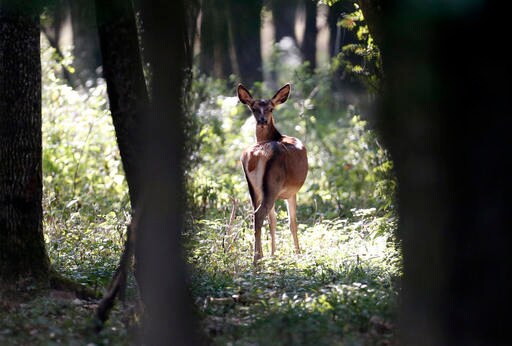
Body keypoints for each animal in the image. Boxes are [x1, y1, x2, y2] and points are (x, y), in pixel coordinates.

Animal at [237, 84, 308, 264]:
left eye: (270, 108)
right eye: (254, 108)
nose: (262, 120)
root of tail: (256, 154)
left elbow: (273, 222)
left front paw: (273, 254)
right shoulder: (291, 191)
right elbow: (292, 223)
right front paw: (298, 253)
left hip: (254, 188)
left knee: (255, 214)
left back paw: (259, 257)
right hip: (273, 183)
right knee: (260, 213)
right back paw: (256, 259)